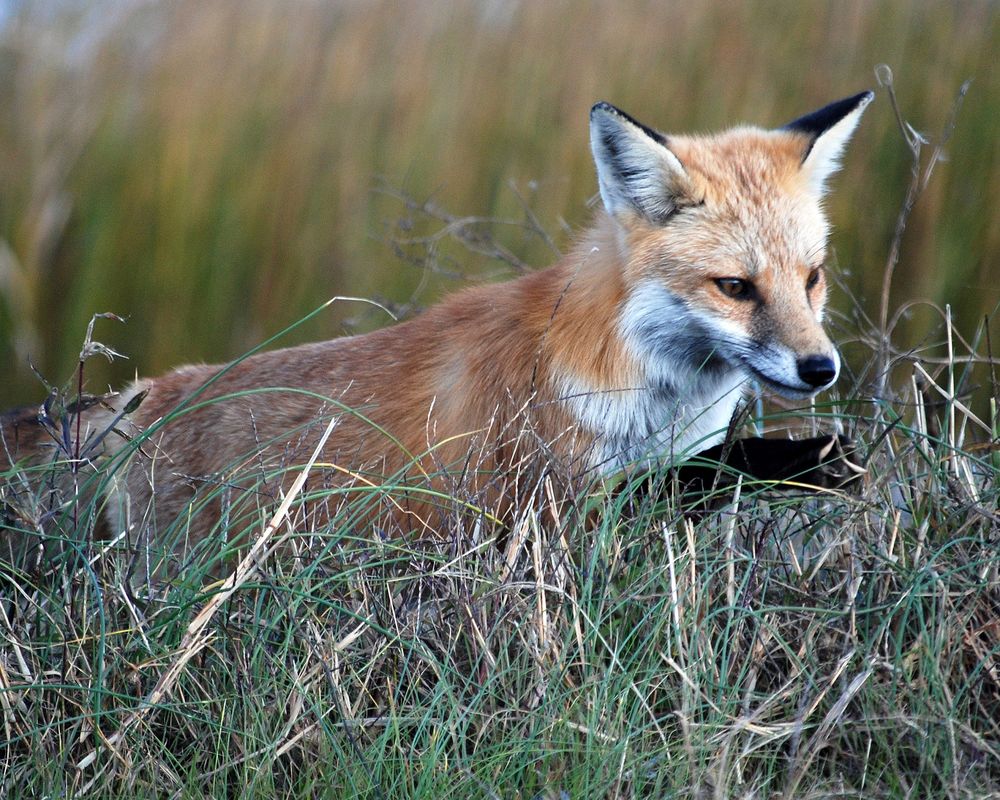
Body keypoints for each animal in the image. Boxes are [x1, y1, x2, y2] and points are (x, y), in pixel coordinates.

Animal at [1, 92, 872, 565]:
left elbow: (700, 473)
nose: (820, 369)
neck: (650, 389)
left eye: (812, 279)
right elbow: (699, 476)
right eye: (736, 288)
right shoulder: (545, 513)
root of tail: (153, 393)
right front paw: (813, 458)